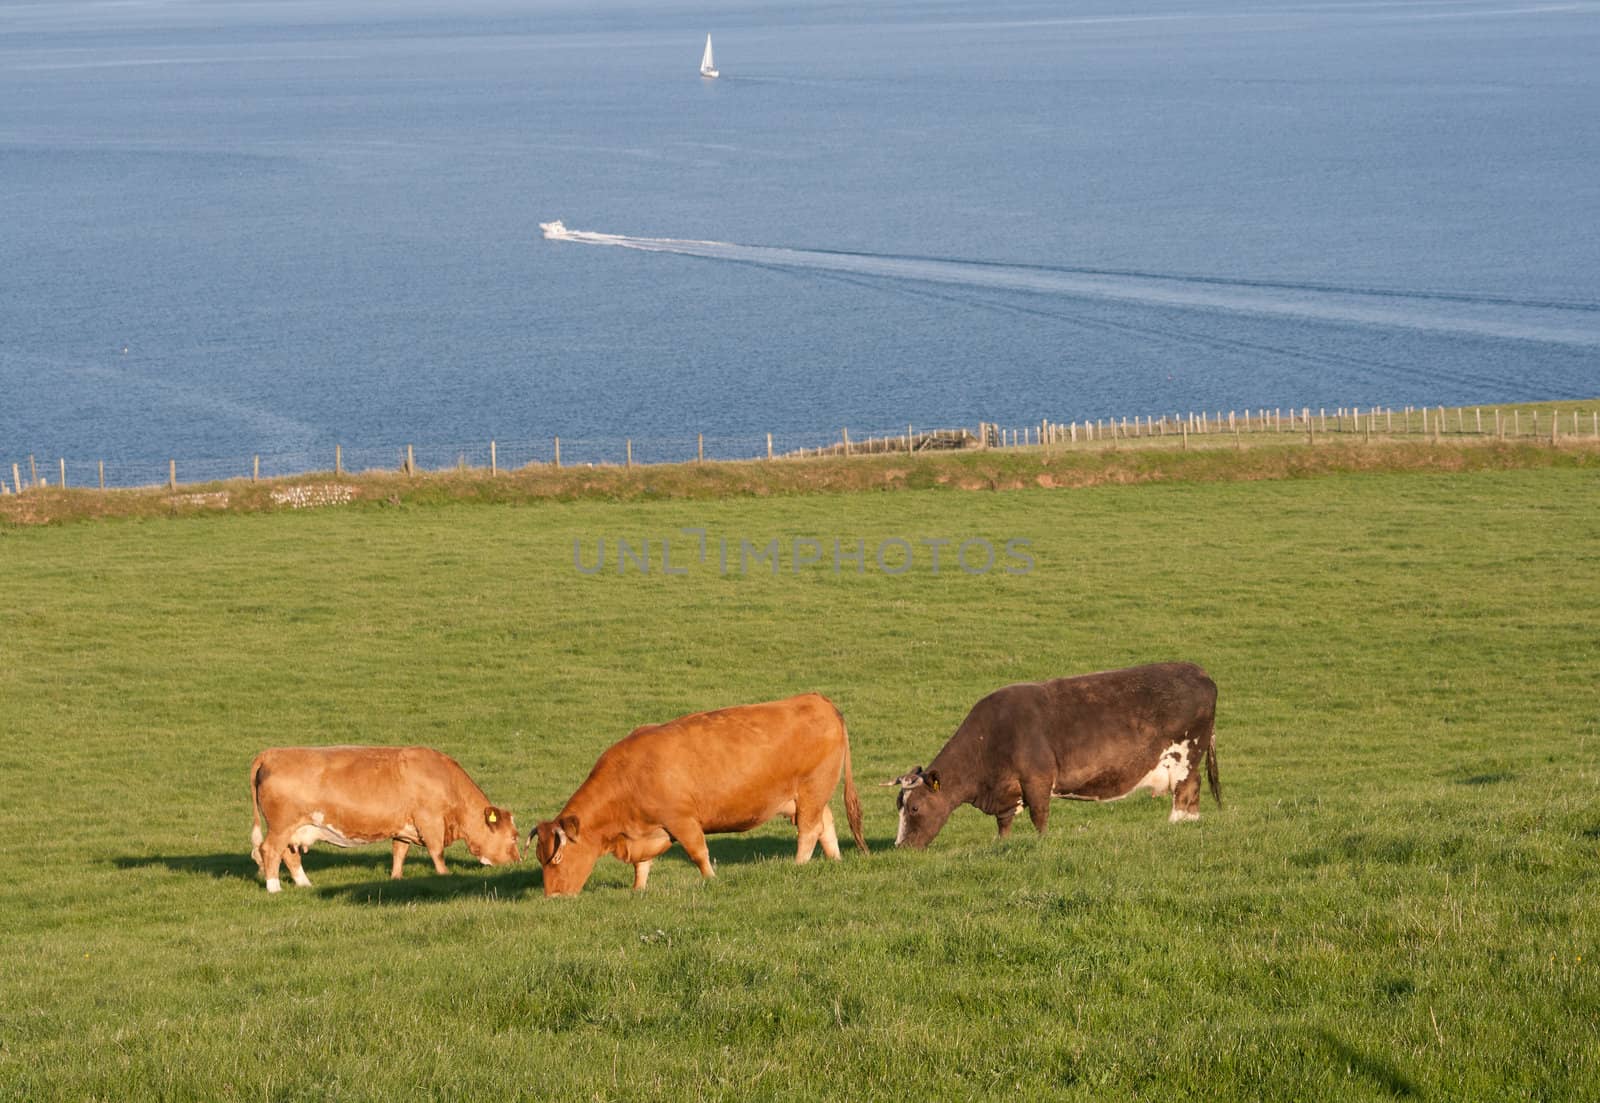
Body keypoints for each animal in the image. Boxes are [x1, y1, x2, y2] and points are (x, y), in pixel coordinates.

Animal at [249, 742, 521, 890]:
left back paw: (304, 883)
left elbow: (399, 853)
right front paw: (445, 876)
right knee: (269, 850)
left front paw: (396, 878)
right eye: (514, 837)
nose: (518, 862)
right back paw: (274, 888)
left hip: (293, 829)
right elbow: (437, 852)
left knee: (288, 854)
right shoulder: (430, 820)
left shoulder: (403, 828)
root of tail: (272, 753)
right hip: (281, 826)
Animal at [534, 697, 864, 896]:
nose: (553, 897)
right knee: (825, 823)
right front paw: (638, 889)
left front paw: (711, 879)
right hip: (810, 796)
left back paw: (798, 865)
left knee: (808, 831)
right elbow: (642, 865)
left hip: (812, 789)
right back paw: (834, 860)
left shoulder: (682, 819)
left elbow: (698, 852)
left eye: (558, 857)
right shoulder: (646, 830)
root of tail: (817, 700)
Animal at [896, 659, 1216, 845]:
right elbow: (1004, 822)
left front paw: (1041, 842)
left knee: (1186, 790)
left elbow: (1040, 816)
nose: (901, 846)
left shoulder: (1036, 780)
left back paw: (1175, 823)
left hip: (1186, 756)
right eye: (899, 805)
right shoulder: (1006, 791)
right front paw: (1003, 843)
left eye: (915, 808)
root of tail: (1197, 670)